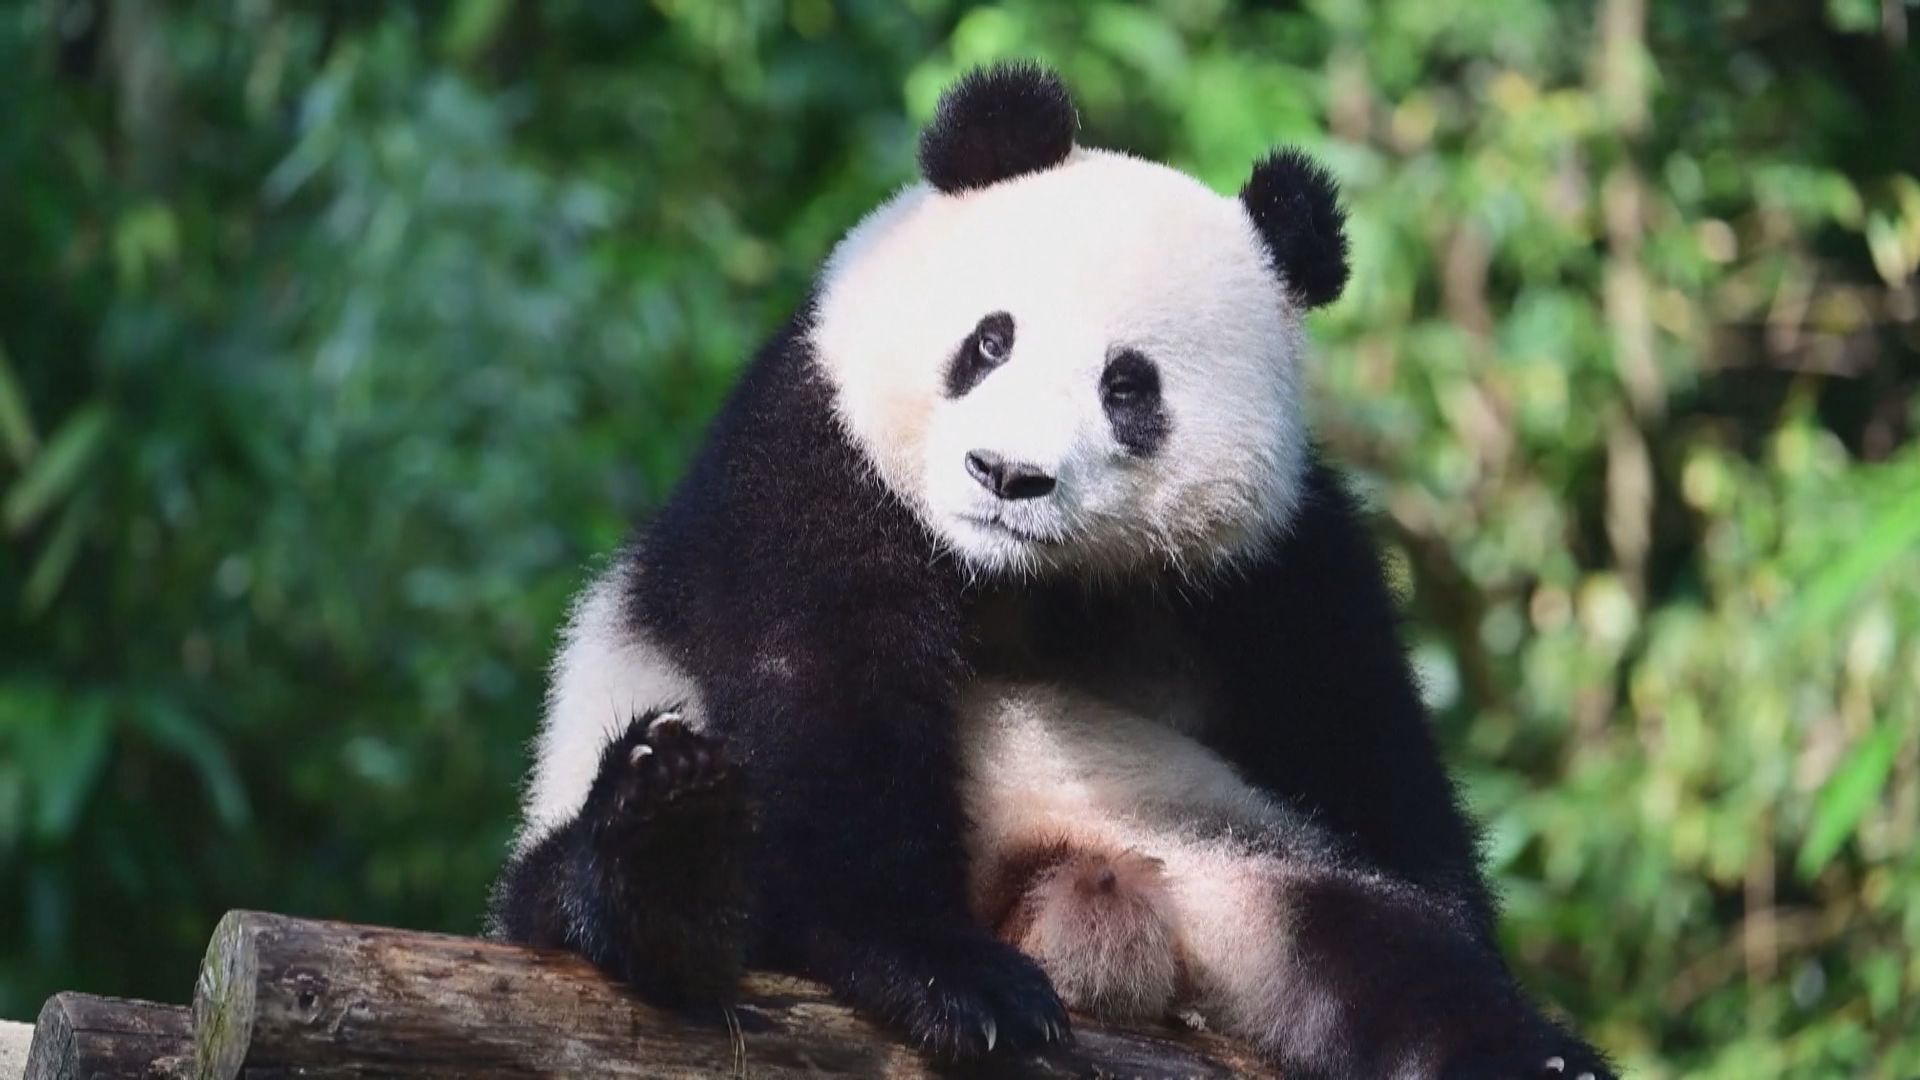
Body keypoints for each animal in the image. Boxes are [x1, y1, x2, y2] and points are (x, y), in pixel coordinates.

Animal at [487, 67, 1612, 1076]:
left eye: (1129, 386)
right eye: (990, 341)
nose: (1006, 475)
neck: (1017, 576)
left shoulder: (1279, 561)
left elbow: (1370, 761)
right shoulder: (816, 454)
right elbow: (820, 695)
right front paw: (952, 980)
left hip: (1233, 869)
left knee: (1376, 952)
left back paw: (1534, 1055)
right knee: (583, 888)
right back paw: (668, 851)